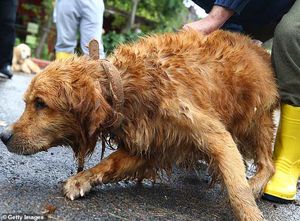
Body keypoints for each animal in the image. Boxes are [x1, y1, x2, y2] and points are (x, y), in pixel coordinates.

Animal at [1, 30, 278, 220]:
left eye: (40, 103)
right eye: (27, 102)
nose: (3, 135)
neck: (127, 86)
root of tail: (261, 50)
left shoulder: (215, 135)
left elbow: (237, 190)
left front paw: (250, 212)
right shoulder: (150, 145)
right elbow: (108, 164)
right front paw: (81, 180)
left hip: (255, 122)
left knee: (268, 164)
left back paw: (255, 184)